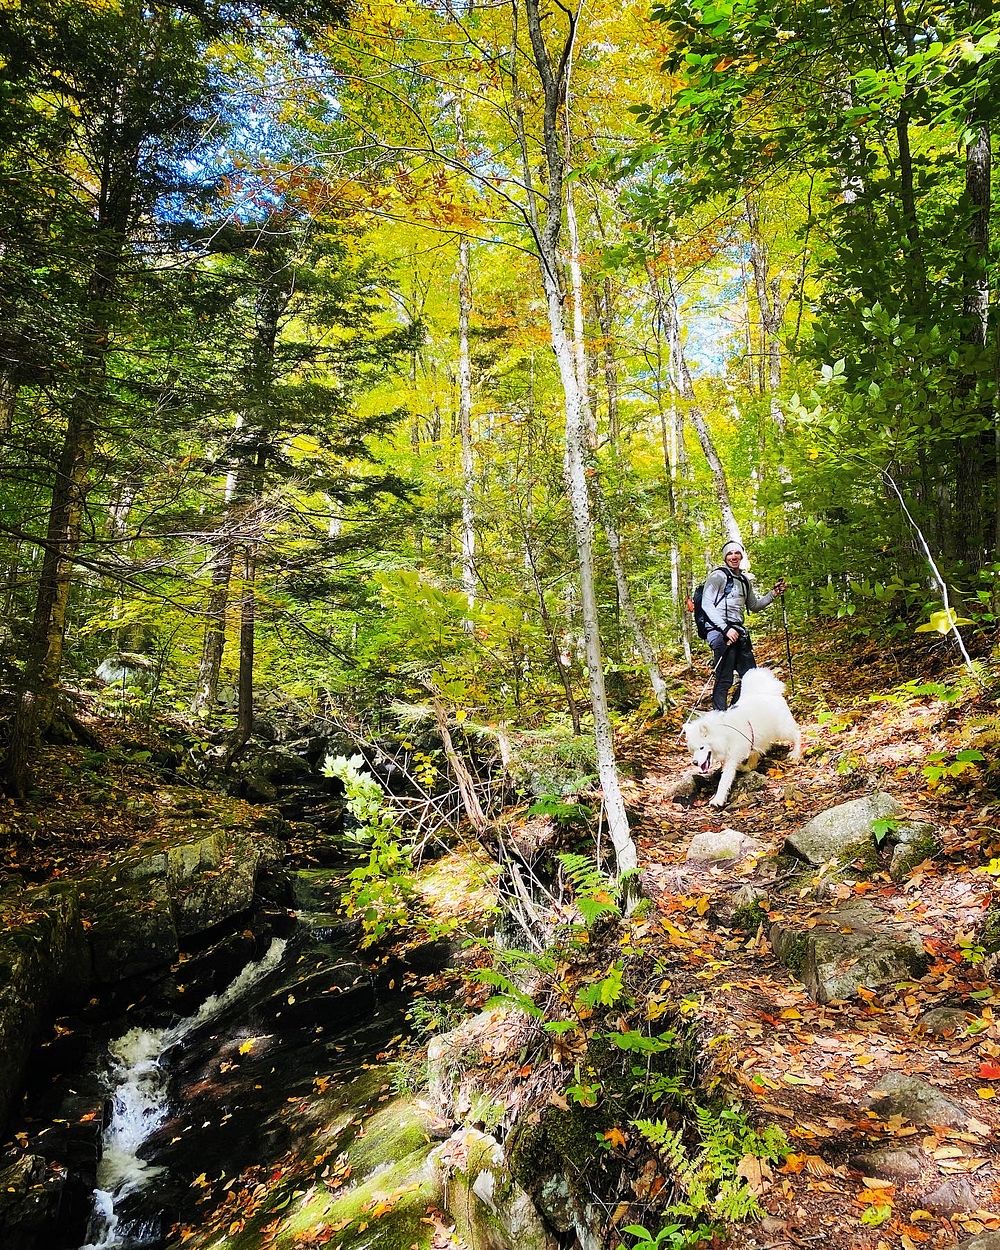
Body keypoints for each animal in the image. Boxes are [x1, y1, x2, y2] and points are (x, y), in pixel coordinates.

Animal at [685, 665, 800, 810]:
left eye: (701, 747)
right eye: (693, 750)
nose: (694, 762)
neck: (724, 734)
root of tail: (769, 691)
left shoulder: (731, 757)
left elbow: (724, 780)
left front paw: (717, 799)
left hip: (782, 729)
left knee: (797, 734)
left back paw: (795, 753)